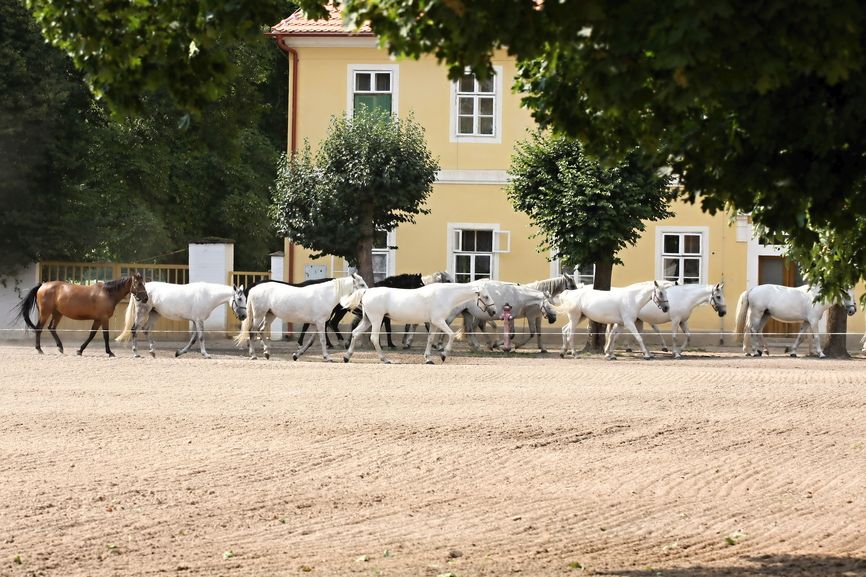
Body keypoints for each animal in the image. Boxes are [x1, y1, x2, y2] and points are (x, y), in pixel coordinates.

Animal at [15, 272, 147, 356]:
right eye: (139, 284)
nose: (146, 298)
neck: (107, 293)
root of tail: (42, 285)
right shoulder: (104, 319)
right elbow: (105, 335)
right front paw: (110, 352)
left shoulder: (98, 319)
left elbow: (91, 335)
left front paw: (80, 350)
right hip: (45, 313)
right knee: (39, 328)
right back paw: (39, 349)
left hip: (57, 314)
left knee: (51, 328)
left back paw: (60, 347)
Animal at [113, 282, 245, 358]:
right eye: (239, 299)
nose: (244, 316)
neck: (207, 295)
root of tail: (139, 290)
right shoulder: (199, 320)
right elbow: (201, 337)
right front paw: (206, 354)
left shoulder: (195, 320)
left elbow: (193, 339)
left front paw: (179, 352)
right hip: (142, 312)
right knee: (134, 329)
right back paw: (136, 353)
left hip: (155, 314)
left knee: (146, 329)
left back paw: (152, 351)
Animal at [236, 274, 368, 360]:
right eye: (361, 284)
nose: (368, 294)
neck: (326, 295)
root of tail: (254, 289)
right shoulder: (320, 322)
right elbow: (322, 340)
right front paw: (327, 357)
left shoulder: (316, 323)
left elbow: (311, 341)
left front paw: (296, 355)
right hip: (259, 314)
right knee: (252, 331)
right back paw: (253, 355)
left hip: (269, 315)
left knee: (261, 330)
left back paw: (267, 353)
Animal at [340, 280, 496, 364]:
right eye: (486, 296)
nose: (494, 311)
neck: (445, 295)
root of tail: (367, 291)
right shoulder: (439, 321)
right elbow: (451, 335)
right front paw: (443, 355)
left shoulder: (433, 323)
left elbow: (430, 339)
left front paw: (428, 359)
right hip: (376, 319)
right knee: (373, 338)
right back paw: (385, 359)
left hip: (367, 320)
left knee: (355, 333)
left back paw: (347, 357)